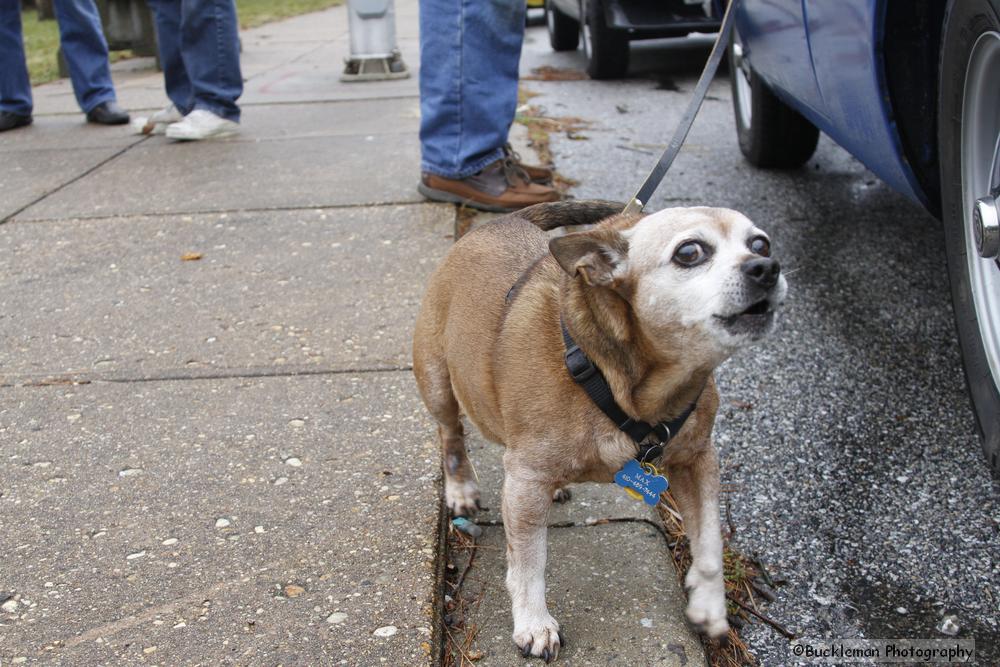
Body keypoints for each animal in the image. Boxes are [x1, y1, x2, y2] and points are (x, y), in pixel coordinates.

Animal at [410, 200, 784, 664]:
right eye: (689, 252)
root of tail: (507, 219)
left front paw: (709, 608)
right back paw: (461, 486)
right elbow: (529, 560)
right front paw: (534, 622)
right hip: (438, 384)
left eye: (761, 243)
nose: (766, 267)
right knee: (451, 435)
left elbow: (710, 544)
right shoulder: (527, 477)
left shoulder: (697, 462)